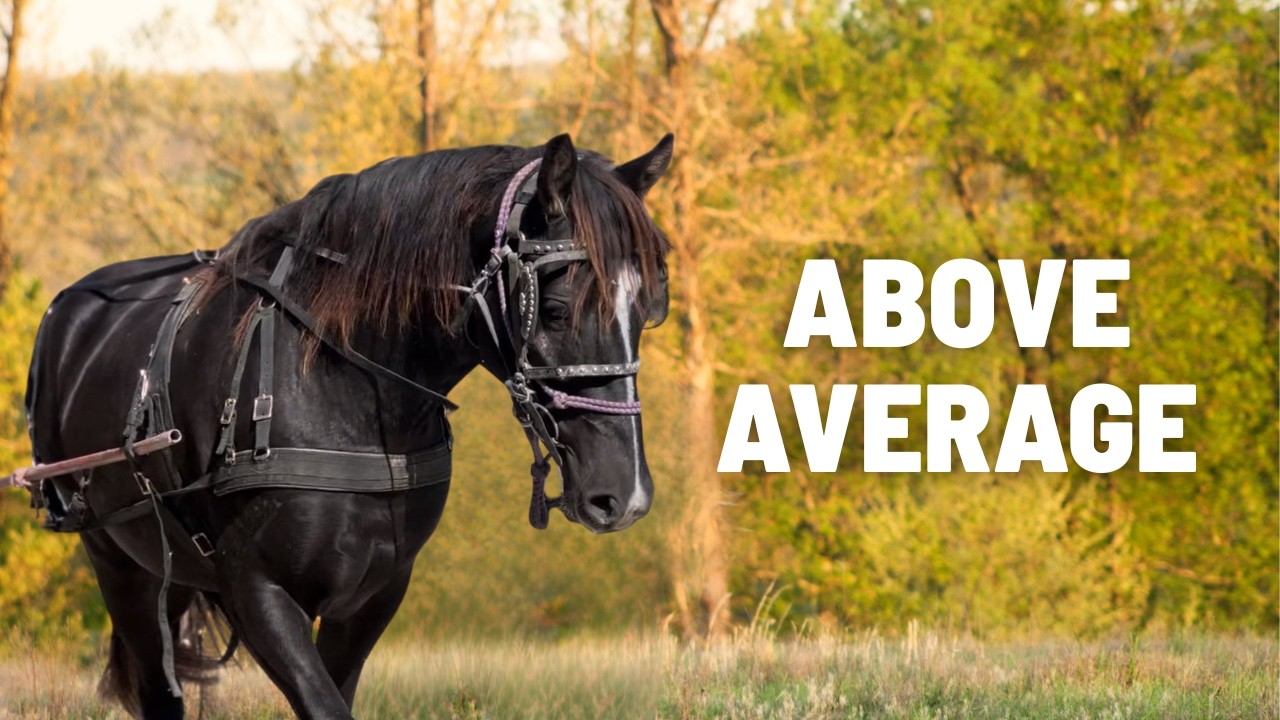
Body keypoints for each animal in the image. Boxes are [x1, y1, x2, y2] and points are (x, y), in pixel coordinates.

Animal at [21, 133, 674, 719]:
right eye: (558, 309)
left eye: (649, 309)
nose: (626, 496)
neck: (344, 388)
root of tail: (69, 309)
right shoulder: (254, 590)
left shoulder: (373, 595)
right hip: (118, 564)